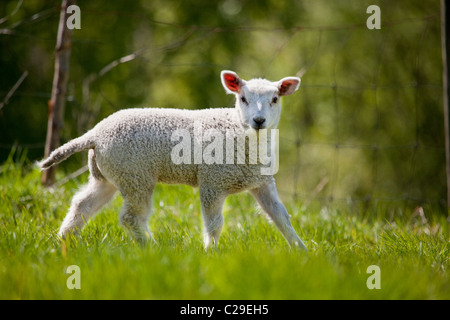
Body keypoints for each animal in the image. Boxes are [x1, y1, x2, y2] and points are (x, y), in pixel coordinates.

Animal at [40, 69, 308, 250]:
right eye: (243, 99)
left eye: (275, 99)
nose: (259, 121)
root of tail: (94, 134)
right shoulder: (213, 181)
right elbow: (214, 224)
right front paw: (211, 253)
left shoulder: (262, 182)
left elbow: (281, 217)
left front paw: (302, 251)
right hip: (136, 174)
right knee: (131, 217)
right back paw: (152, 248)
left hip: (108, 173)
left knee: (82, 204)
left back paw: (64, 241)